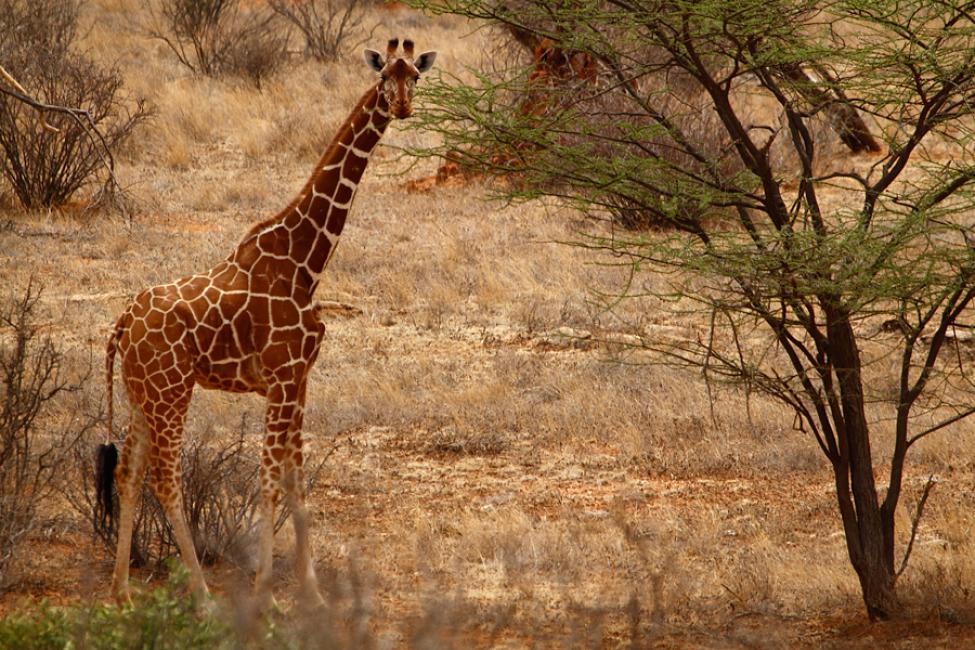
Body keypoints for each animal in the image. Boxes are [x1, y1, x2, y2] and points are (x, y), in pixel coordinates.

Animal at [96, 38, 438, 604]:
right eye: (384, 75)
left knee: (127, 471)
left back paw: (122, 592)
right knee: (165, 477)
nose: (403, 107)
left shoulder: (299, 379)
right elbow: (271, 478)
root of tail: (121, 323)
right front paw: (261, 591)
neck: (306, 263)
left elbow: (295, 479)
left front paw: (312, 590)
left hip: (141, 393)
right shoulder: (280, 378)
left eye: (415, 75)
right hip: (172, 392)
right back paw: (203, 597)